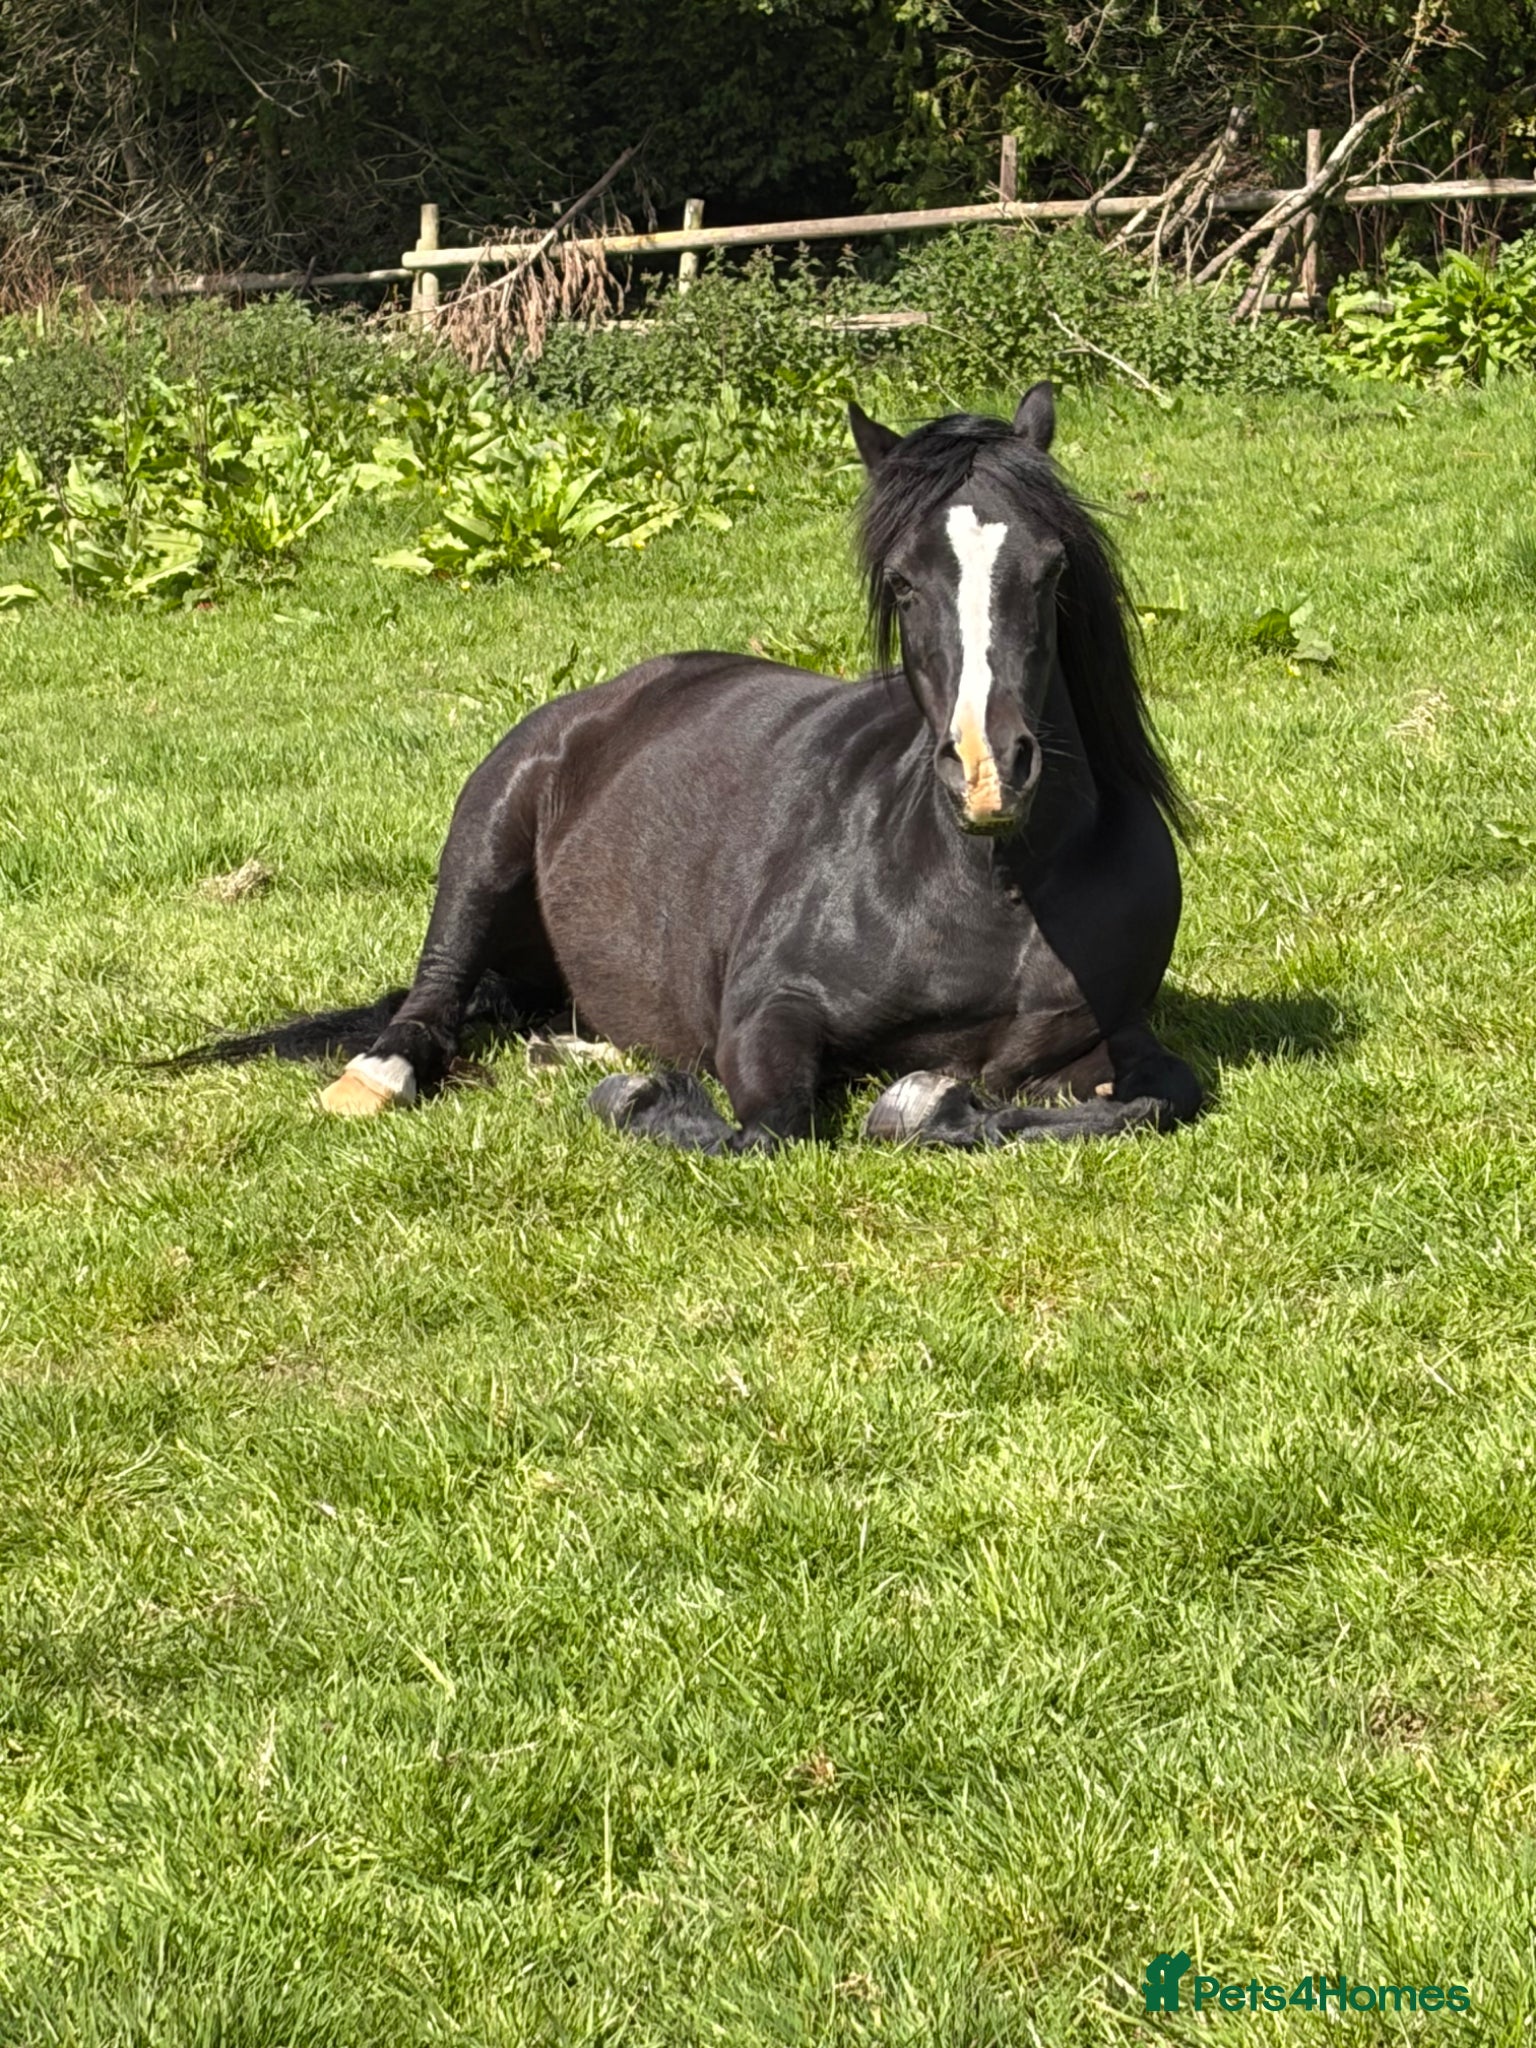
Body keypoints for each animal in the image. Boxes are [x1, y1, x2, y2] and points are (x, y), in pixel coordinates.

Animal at [175, 383, 1202, 1151]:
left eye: (1051, 569)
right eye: (904, 583)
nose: (989, 772)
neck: (994, 889)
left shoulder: (1111, 1042)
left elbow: (1156, 1099)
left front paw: (930, 1099)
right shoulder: (764, 1014)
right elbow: (769, 1129)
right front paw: (641, 1099)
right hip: (486, 835)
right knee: (435, 991)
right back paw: (385, 1075)